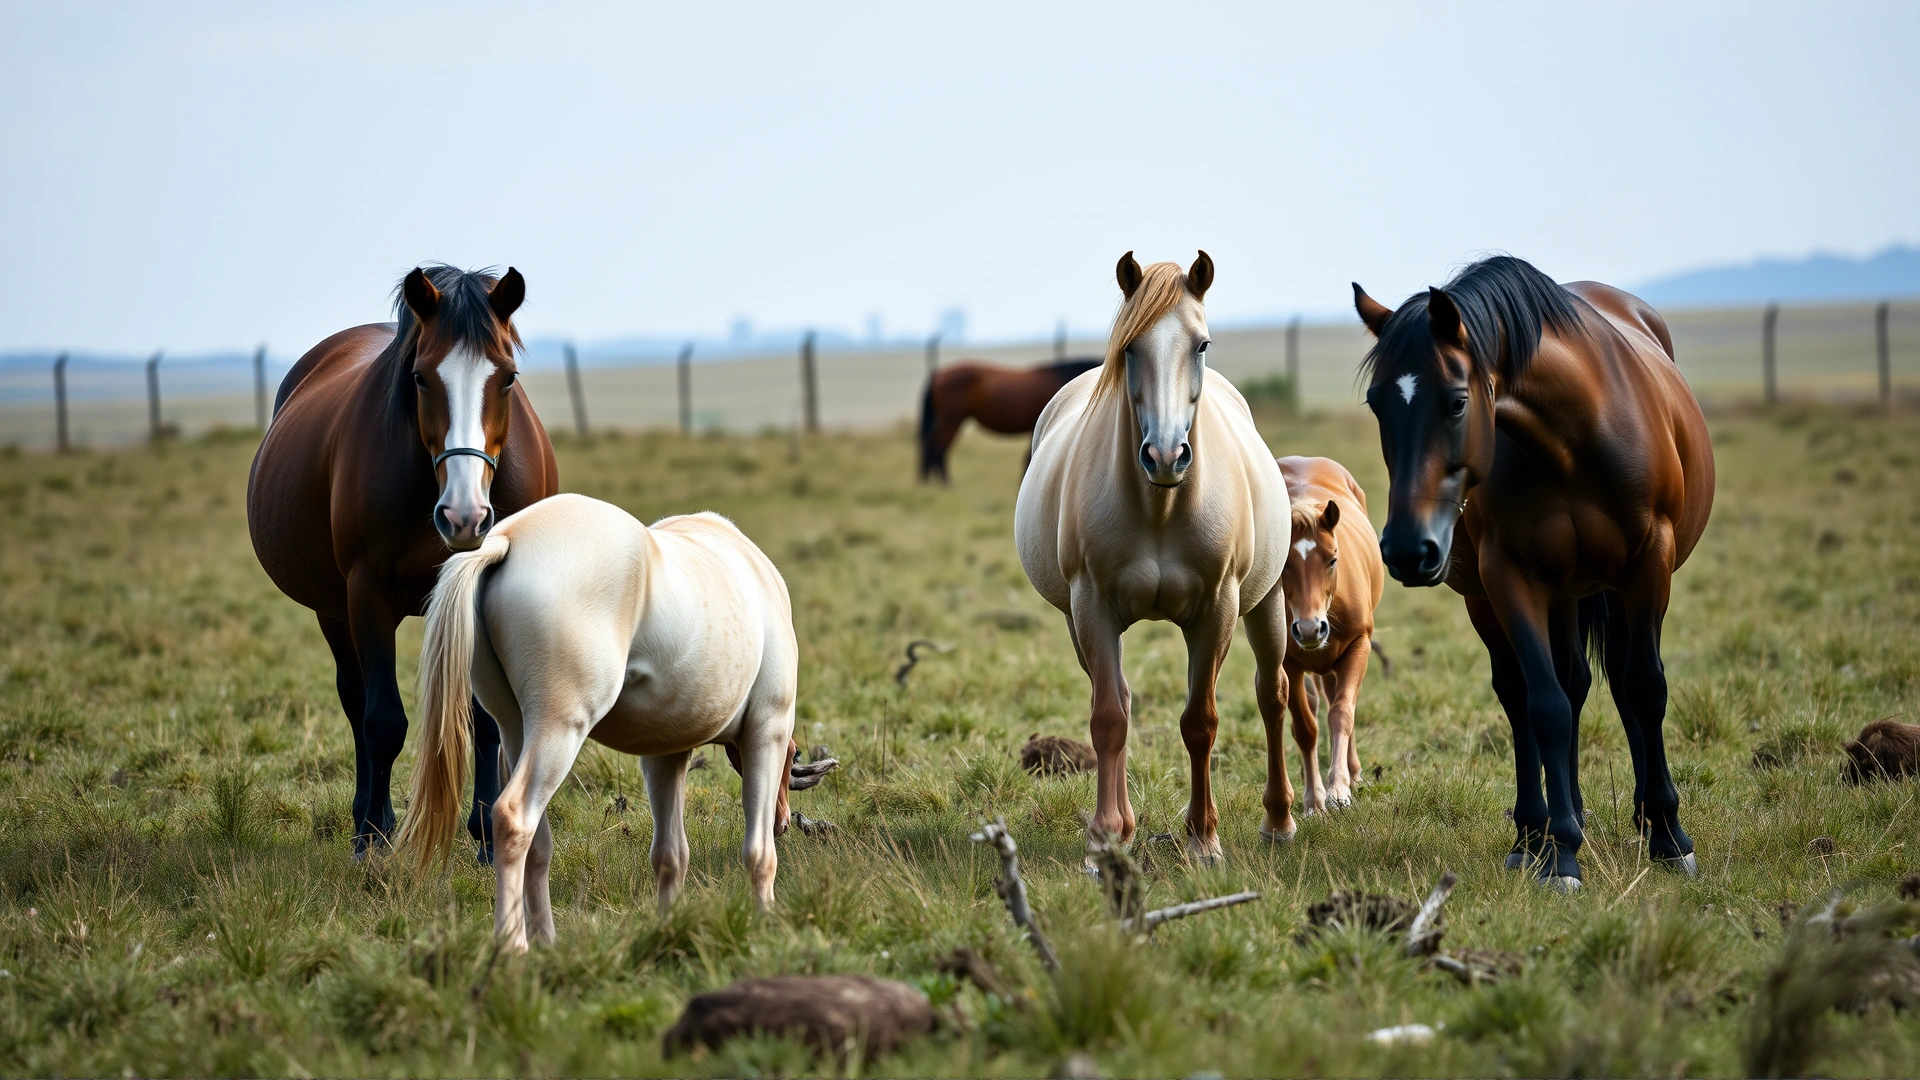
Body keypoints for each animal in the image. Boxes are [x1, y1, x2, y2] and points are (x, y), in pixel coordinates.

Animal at [248, 265, 560, 858]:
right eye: (419, 378)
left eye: (508, 377)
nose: (465, 516)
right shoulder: (365, 596)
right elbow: (383, 722)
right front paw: (372, 837)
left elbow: (486, 720)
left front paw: (487, 837)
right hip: (334, 611)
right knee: (357, 704)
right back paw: (368, 821)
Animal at [395, 494, 798, 953]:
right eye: (792, 759)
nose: (784, 821)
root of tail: (506, 539)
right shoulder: (767, 731)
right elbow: (759, 854)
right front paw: (765, 924)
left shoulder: (664, 755)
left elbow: (670, 856)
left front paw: (668, 927)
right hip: (558, 730)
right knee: (513, 818)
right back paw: (513, 945)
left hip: (515, 733)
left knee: (538, 845)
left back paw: (547, 941)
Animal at [1016, 252, 1293, 857]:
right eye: (1129, 348)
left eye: (1202, 344)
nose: (1166, 456)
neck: (1161, 507)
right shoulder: (1091, 607)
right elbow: (1109, 720)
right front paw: (1105, 837)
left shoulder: (1217, 610)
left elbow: (1200, 721)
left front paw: (1204, 838)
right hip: (1078, 621)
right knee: (1117, 699)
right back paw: (1123, 824)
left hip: (1266, 604)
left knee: (1273, 694)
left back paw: (1281, 820)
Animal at [1276, 455, 1386, 813]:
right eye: (1283, 565)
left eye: (1333, 559)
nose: (1310, 628)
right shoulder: (1289, 662)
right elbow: (1305, 727)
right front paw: (1315, 800)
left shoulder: (1358, 646)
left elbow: (1342, 713)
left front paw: (1340, 789)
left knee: (1337, 700)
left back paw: (1354, 774)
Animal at [1352, 255, 1713, 888]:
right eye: (1377, 403)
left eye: (1456, 401)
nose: (1406, 550)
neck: (1573, 437)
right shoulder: (1510, 577)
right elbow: (1545, 706)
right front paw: (1562, 852)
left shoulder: (1650, 563)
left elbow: (1644, 687)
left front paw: (1670, 837)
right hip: (1510, 597)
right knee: (1533, 692)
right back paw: (1535, 834)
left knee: (1608, 683)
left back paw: (1639, 819)